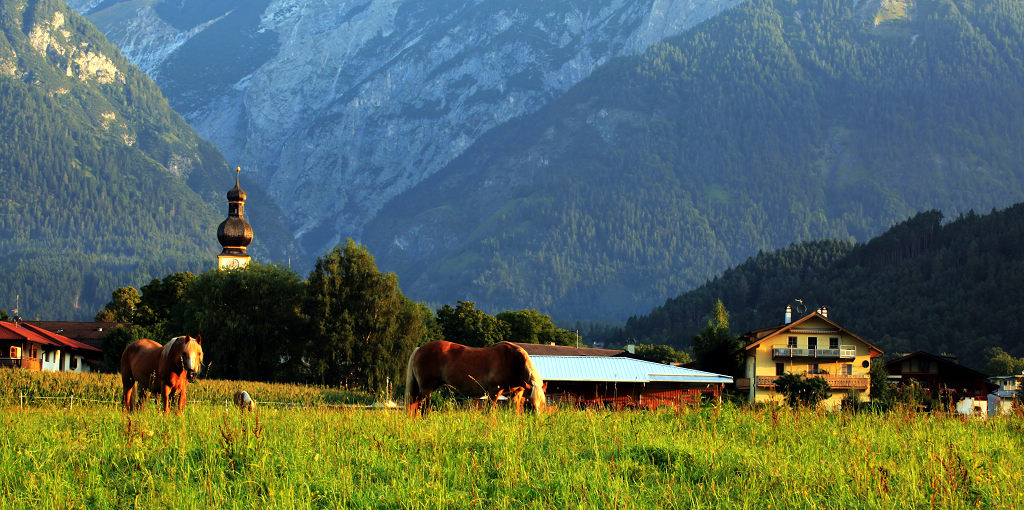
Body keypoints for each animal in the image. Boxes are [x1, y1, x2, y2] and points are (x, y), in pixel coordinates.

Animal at [403, 340, 548, 415]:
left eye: (543, 404)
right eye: (531, 404)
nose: (537, 421)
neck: (512, 360)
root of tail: (419, 349)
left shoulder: (516, 394)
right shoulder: (494, 392)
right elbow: (489, 412)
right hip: (427, 389)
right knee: (422, 408)